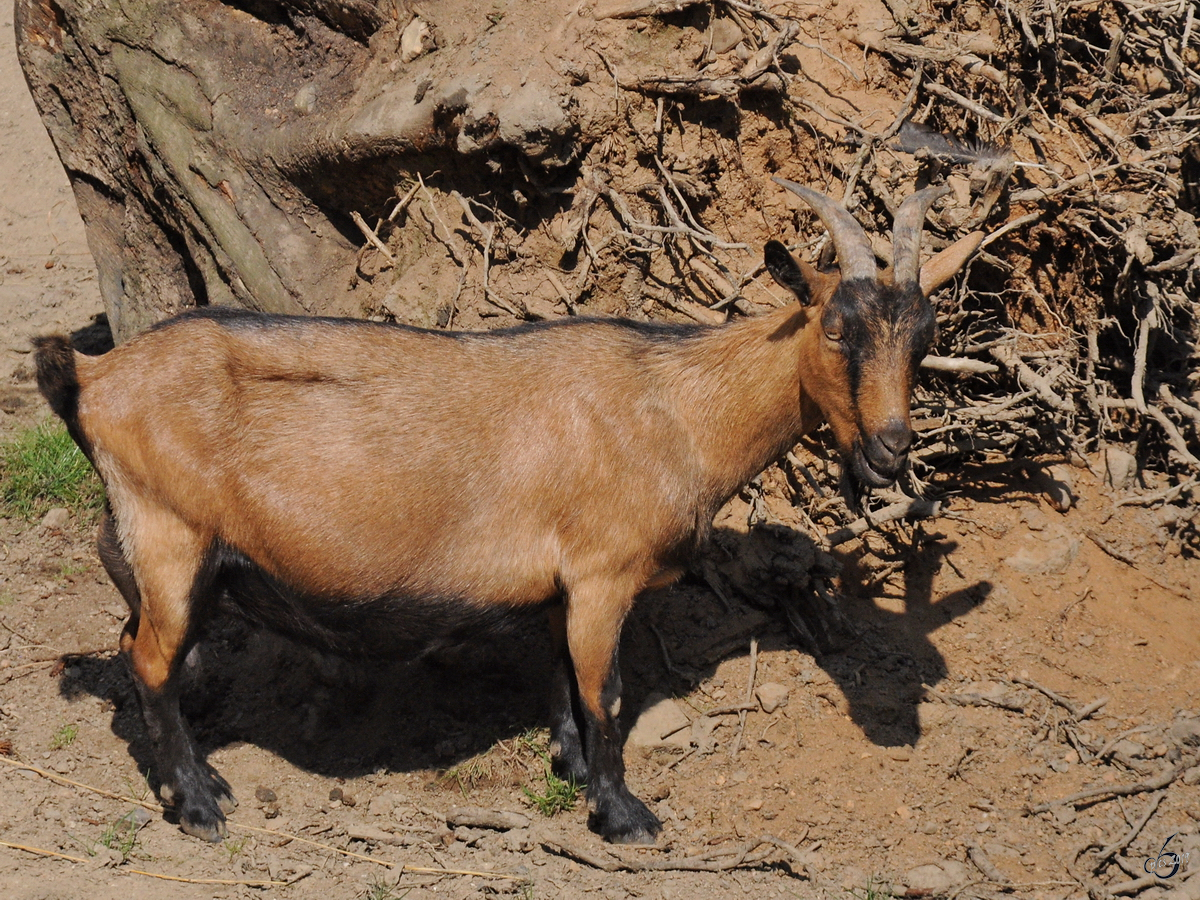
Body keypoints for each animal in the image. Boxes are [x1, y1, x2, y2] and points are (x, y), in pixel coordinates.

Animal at [32, 181, 979, 844]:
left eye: (927, 335)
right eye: (835, 328)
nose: (891, 448)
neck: (675, 405)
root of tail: (93, 377)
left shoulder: (562, 582)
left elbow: (561, 677)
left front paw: (571, 769)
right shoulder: (603, 572)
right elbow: (605, 691)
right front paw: (623, 813)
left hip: (151, 547)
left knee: (137, 645)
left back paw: (197, 781)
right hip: (172, 535)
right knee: (151, 662)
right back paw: (198, 805)